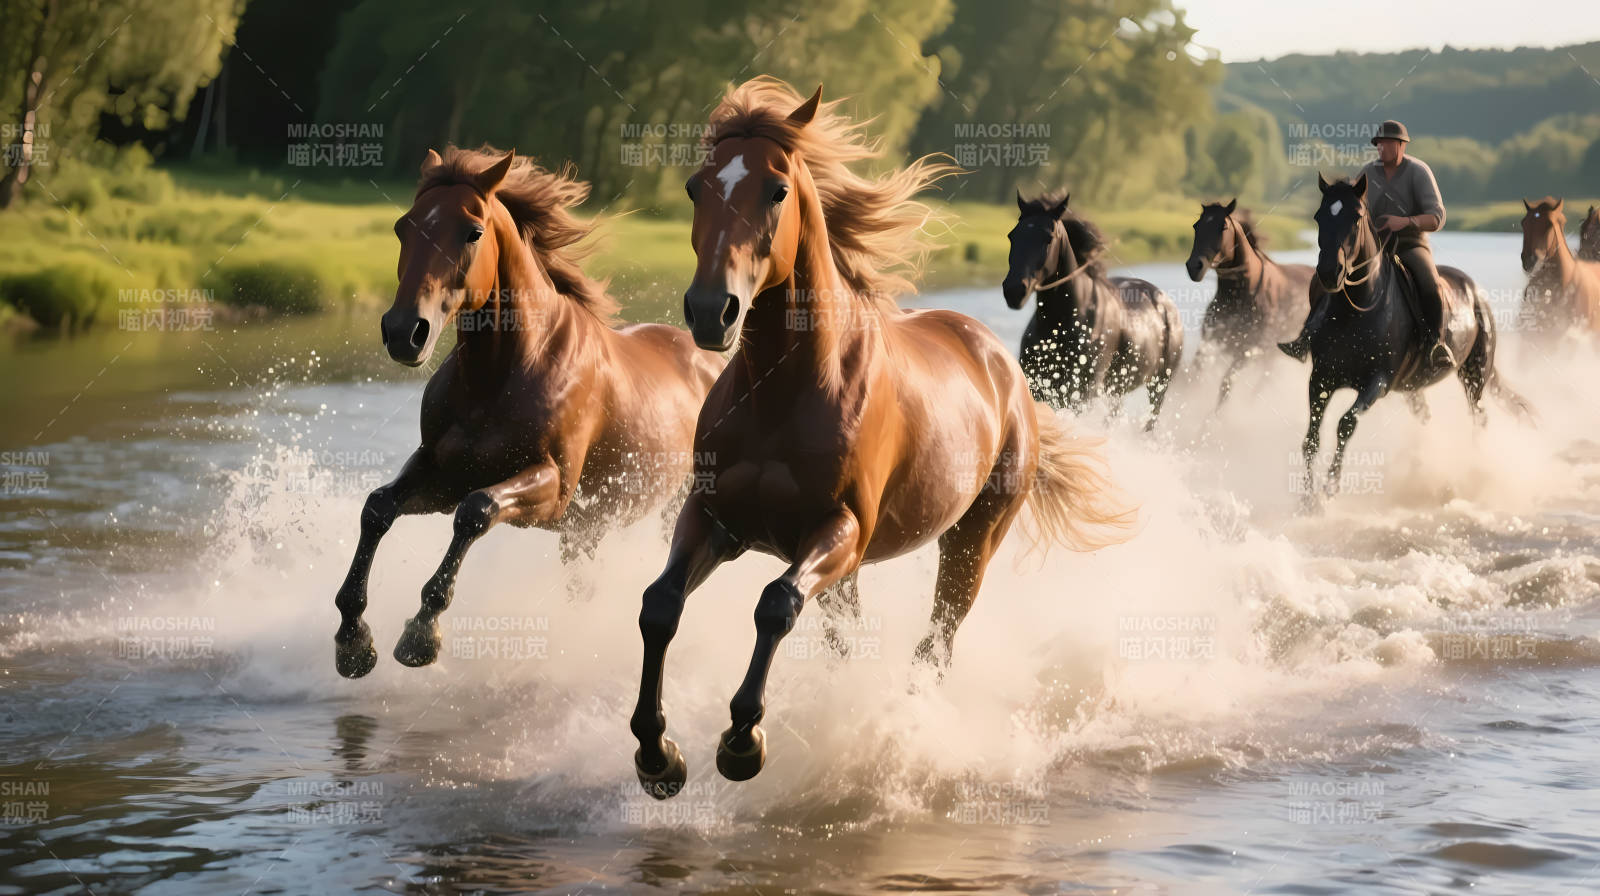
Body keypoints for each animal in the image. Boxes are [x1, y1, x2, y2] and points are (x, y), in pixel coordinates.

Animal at [331, 147, 722, 679]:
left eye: (473, 232)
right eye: (403, 227)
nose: (403, 332)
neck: (503, 374)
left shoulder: (551, 487)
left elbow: (475, 512)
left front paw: (421, 634)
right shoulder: (442, 471)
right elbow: (377, 508)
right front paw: (353, 640)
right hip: (583, 534)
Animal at [628, 79, 1134, 798]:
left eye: (776, 190)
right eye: (698, 187)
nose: (709, 311)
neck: (787, 390)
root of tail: (1002, 364)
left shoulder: (840, 530)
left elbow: (775, 604)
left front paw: (742, 742)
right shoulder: (716, 519)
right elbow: (660, 605)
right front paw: (657, 752)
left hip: (971, 540)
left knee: (936, 643)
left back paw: (902, 732)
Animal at [1002, 191, 1183, 428]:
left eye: (1048, 238)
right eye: (1012, 235)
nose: (1014, 290)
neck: (1060, 325)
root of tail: (1165, 303)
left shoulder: (1081, 393)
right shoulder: (1039, 387)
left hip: (1159, 384)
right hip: (1118, 391)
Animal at [1185, 199, 1317, 408]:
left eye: (1223, 226)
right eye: (1196, 226)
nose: (1194, 266)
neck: (1241, 297)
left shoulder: (1251, 350)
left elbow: (1227, 383)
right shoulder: (1211, 344)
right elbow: (1193, 379)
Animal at [1298, 173, 1526, 505]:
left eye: (1355, 217)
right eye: (1319, 216)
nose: (1330, 272)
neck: (1357, 310)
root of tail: (1476, 292)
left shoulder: (1376, 383)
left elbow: (1346, 424)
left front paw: (1330, 488)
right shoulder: (1320, 379)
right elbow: (1311, 438)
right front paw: (1306, 501)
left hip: (1474, 375)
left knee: (1479, 417)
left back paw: (1475, 470)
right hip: (1412, 387)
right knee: (1427, 417)